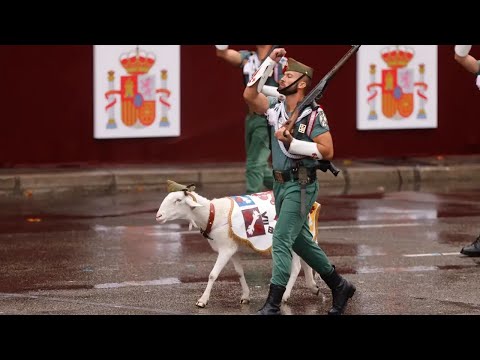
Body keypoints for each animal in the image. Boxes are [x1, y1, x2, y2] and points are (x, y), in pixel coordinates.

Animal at [158, 181, 320, 308]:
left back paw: (286, 295)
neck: (212, 214)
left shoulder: (225, 249)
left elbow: (212, 274)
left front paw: (202, 301)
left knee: (297, 267)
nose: (158, 216)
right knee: (307, 259)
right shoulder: (232, 248)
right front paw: (245, 296)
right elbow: (239, 273)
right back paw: (313, 286)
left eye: (178, 200)